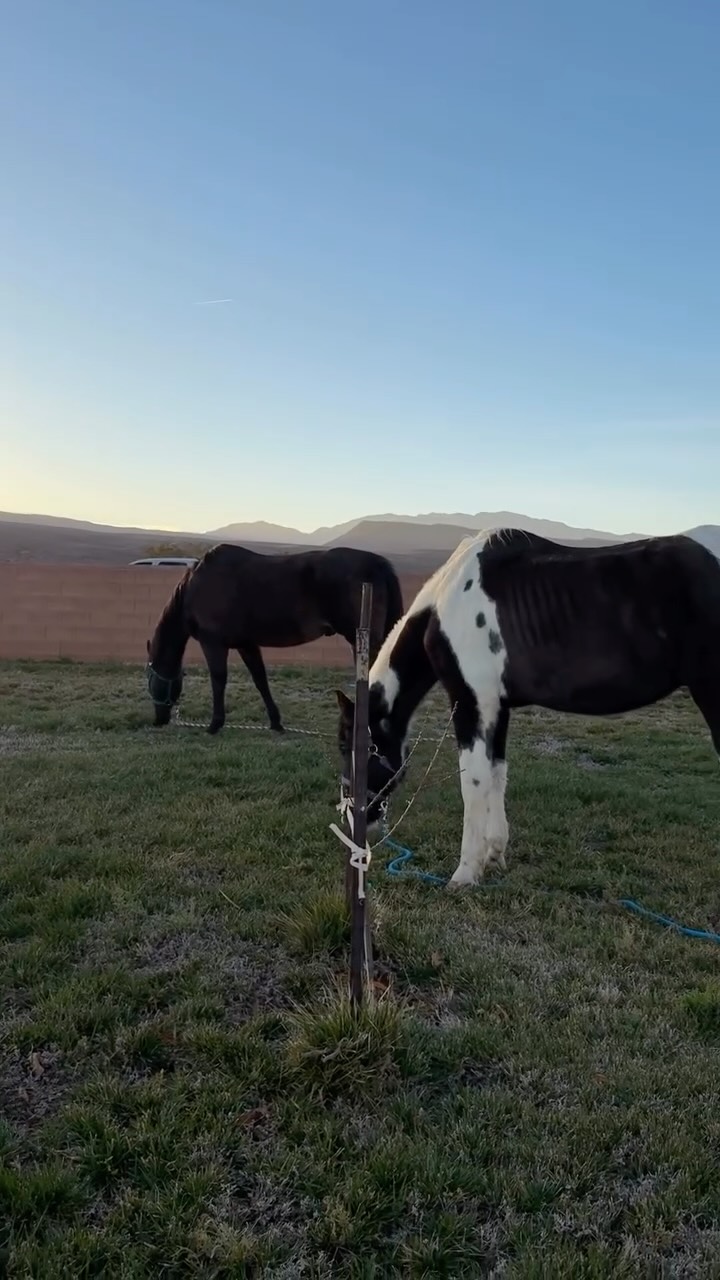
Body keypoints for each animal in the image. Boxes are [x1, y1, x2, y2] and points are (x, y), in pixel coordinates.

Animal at [146, 542, 404, 733]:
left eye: (149, 678)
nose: (159, 720)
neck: (197, 587)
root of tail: (377, 564)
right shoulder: (247, 644)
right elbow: (260, 680)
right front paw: (276, 722)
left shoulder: (213, 644)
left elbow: (218, 680)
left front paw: (214, 724)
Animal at [335, 528, 720, 888]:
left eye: (348, 745)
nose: (353, 817)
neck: (446, 608)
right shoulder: (497, 706)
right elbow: (497, 775)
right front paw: (494, 854)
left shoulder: (470, 703)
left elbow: (473, 782)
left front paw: (464, 873)